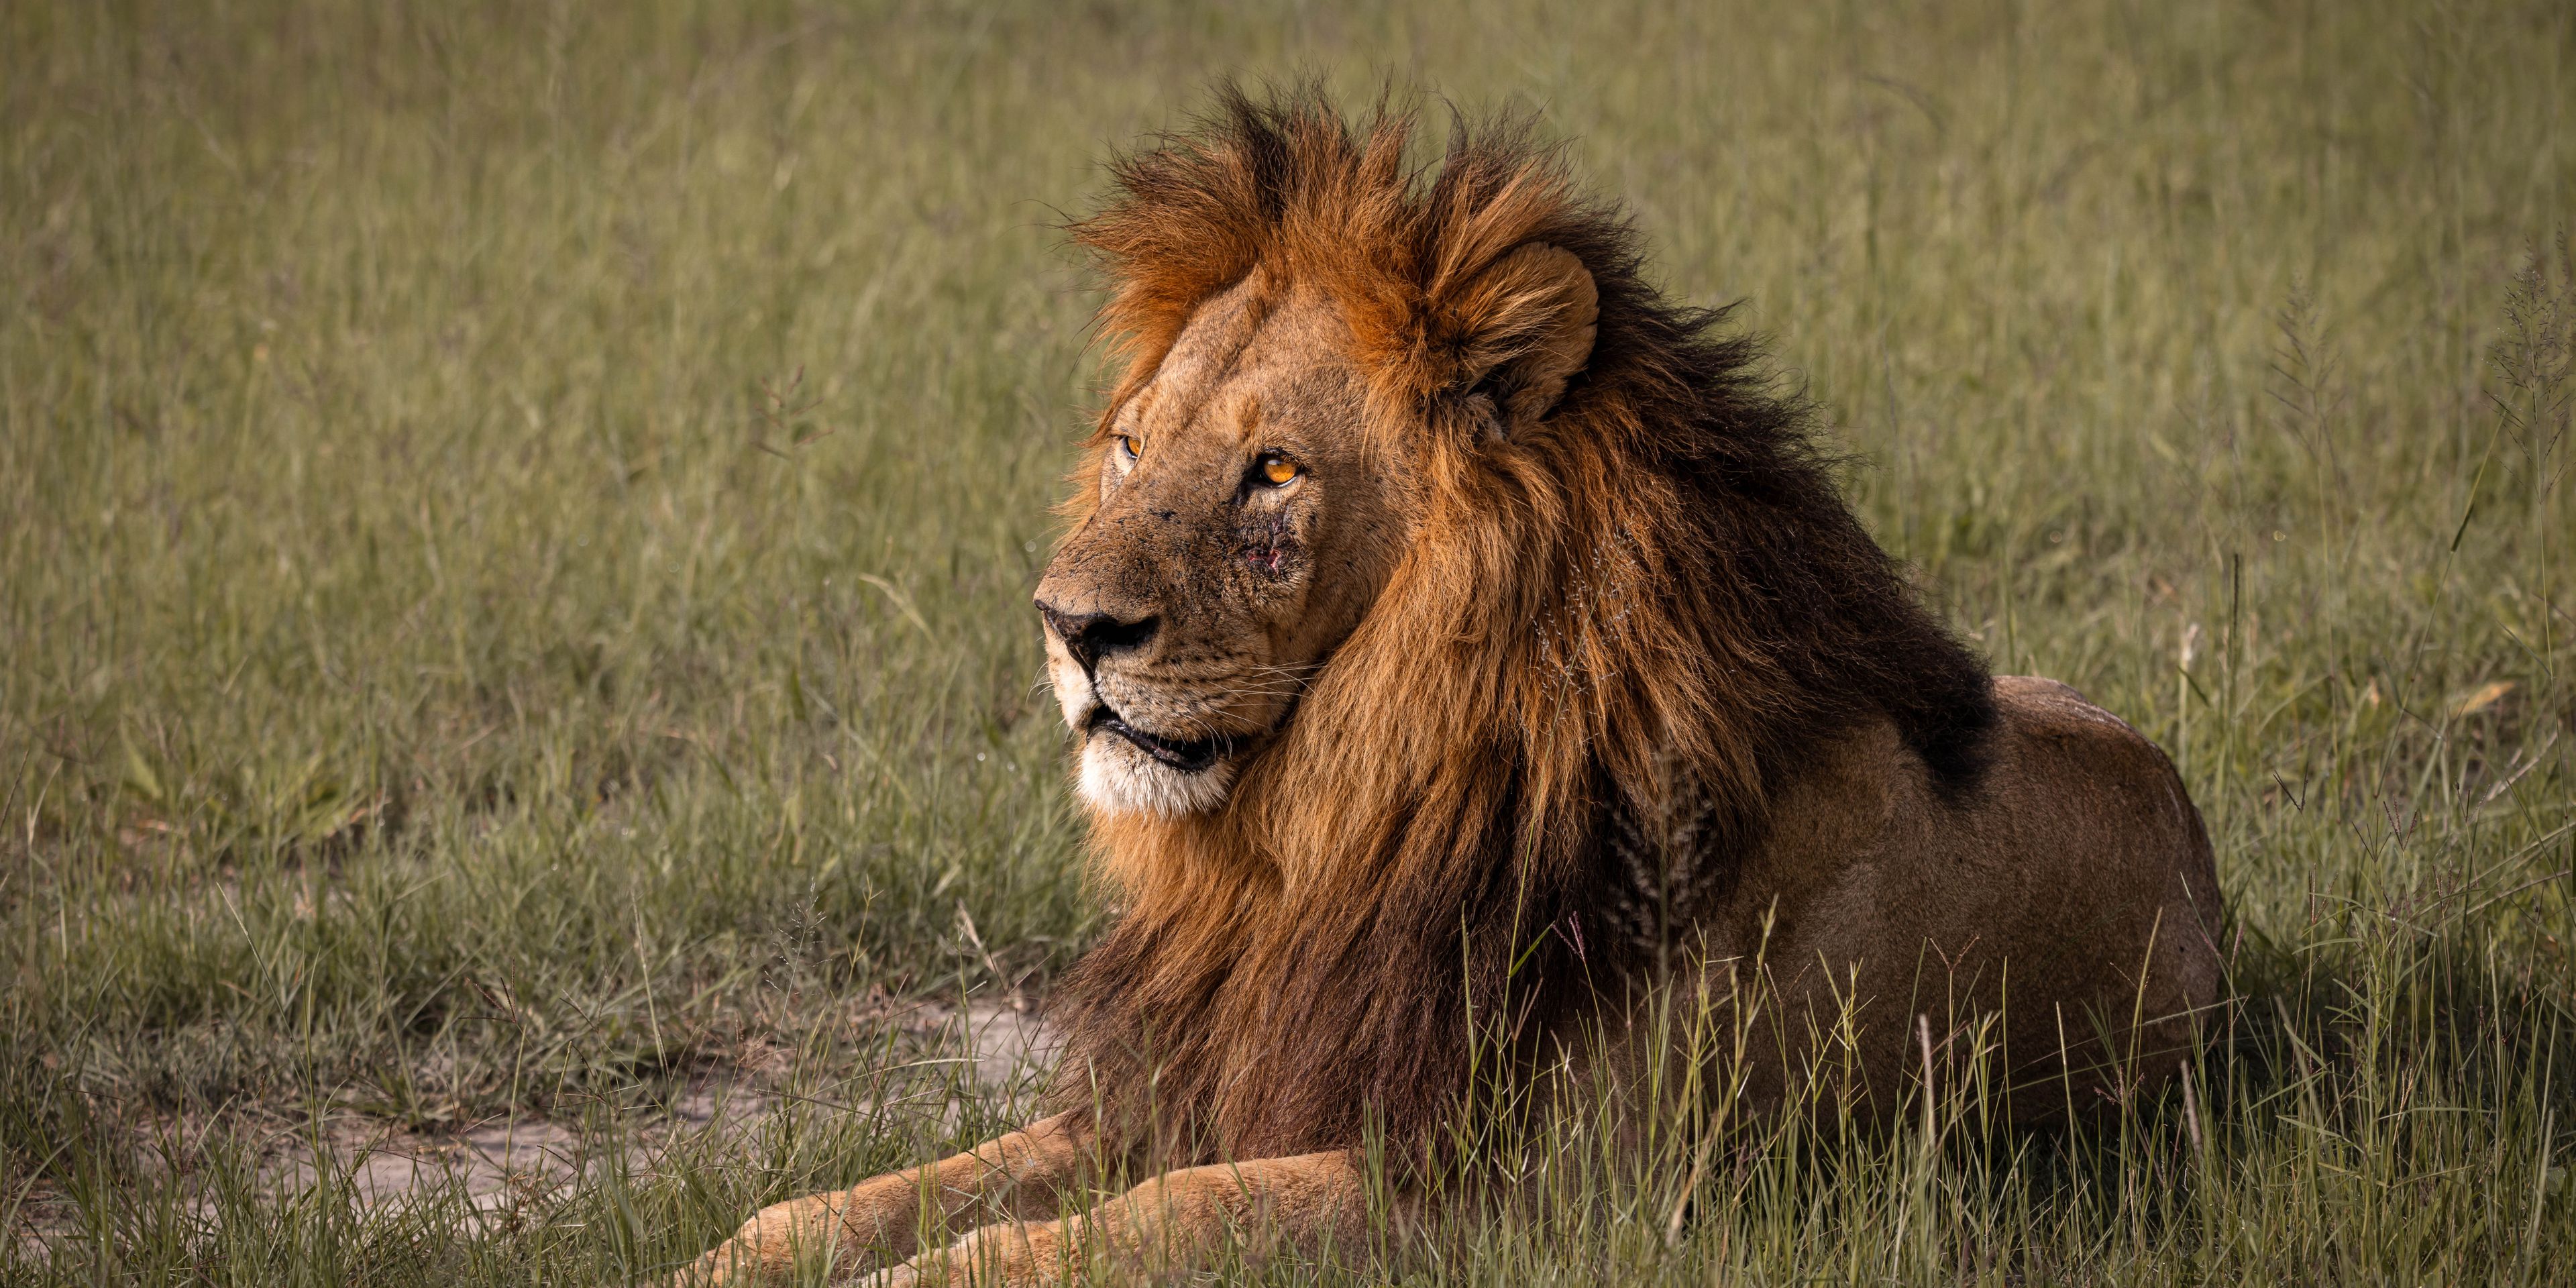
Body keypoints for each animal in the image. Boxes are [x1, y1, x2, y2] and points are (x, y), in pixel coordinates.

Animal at [679, 87, 2222, 1285]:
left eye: (1275, 470)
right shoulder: (1210, 1078)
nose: (1068, 627)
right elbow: (886, 1192)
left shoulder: (1543, 1195)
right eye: (1130, 446)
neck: (1327, 838)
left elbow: (1160, 1218)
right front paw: (723, 1255)